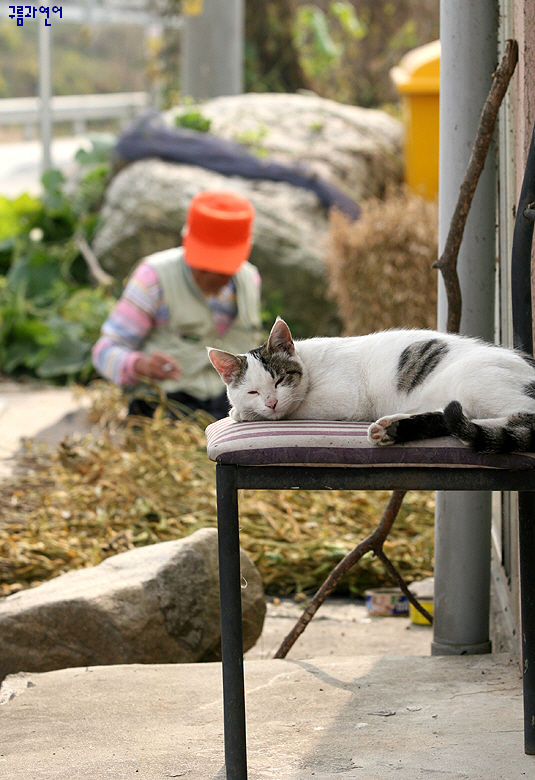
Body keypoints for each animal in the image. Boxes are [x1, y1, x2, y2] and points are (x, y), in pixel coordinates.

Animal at [208, 316, 535, 450]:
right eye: (252, 391)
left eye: (279, 380)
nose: (271, 402)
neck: (310, 365)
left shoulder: (345, 400)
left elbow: (297, 409)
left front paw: (242, 413)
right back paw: (393, 428)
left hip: (476, 381)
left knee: (517, 419)